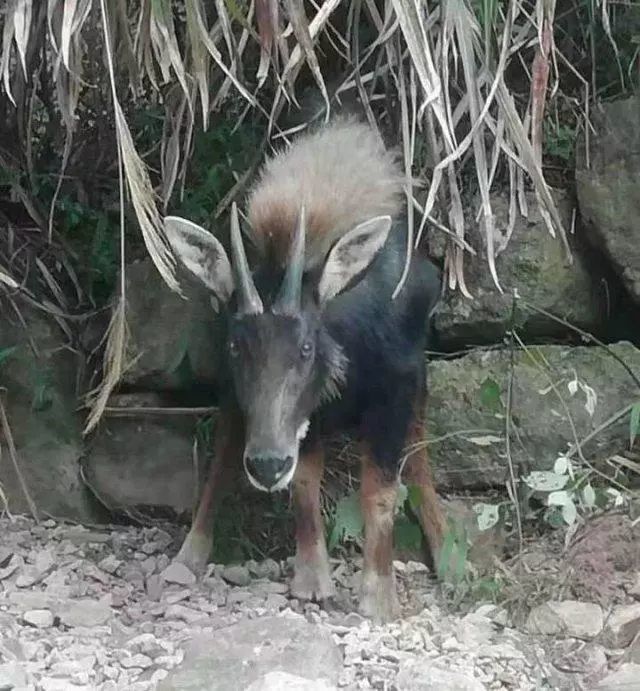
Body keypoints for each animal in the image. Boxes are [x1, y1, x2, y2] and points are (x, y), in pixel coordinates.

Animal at [165, 116, 444, 624]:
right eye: (236, 344)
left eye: (307, 347)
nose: (267, 465)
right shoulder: (294, 416)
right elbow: (302, 482)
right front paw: (312, 581)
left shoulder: (397, 389)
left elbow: (381, 490)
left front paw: (379, 597)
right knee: (222, 457)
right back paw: (188, 556)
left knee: (419, 455)